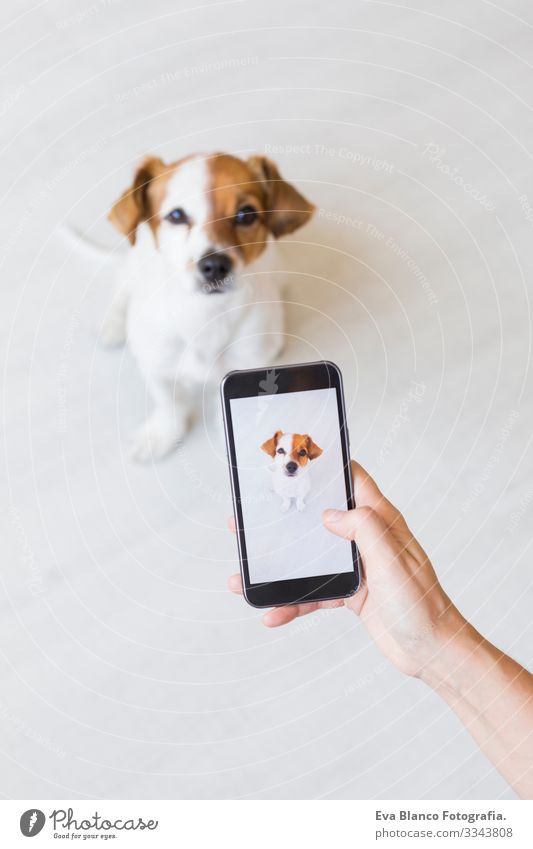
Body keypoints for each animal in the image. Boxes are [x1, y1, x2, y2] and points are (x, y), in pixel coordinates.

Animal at [102, 152, 314, 458]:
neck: (204, 316)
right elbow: (168, 402)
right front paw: (162, 433)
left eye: (246, 214)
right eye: (176, 215)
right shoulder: (156, 365)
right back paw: (113, 324)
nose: (214, 265)